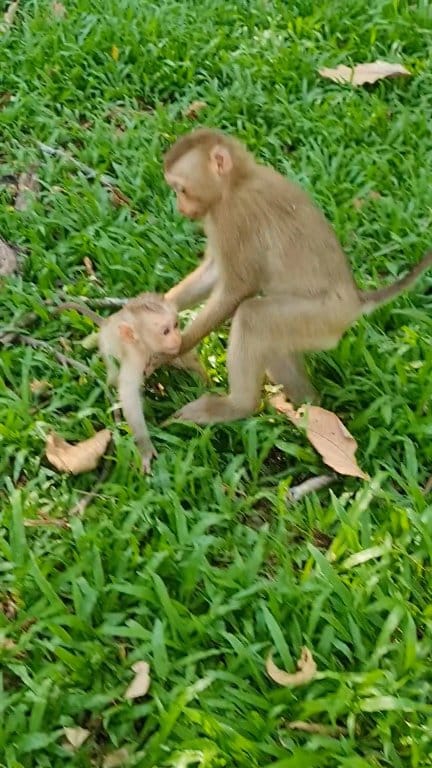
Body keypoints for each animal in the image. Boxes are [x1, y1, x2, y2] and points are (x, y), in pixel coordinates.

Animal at [58, 293, 205, 472]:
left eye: (176, 325)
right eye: (165, 331)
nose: (177, 337)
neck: (147, 348)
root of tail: (107, 323)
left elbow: (190, 360)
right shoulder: (135, 358)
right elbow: (129, 397)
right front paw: (145, 448)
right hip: (106, 348)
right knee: (114, 374)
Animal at [163, 127, 432, 425]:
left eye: (181, 189)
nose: (180, 208)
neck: (237, 182)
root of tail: (355, 300)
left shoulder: (235, 216)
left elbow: (238, 288)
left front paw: (173, 349)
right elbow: (214, 271)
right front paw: (160, 308)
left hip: (323, 317)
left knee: (252, 318)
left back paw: (240, 406)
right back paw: (307, 404)